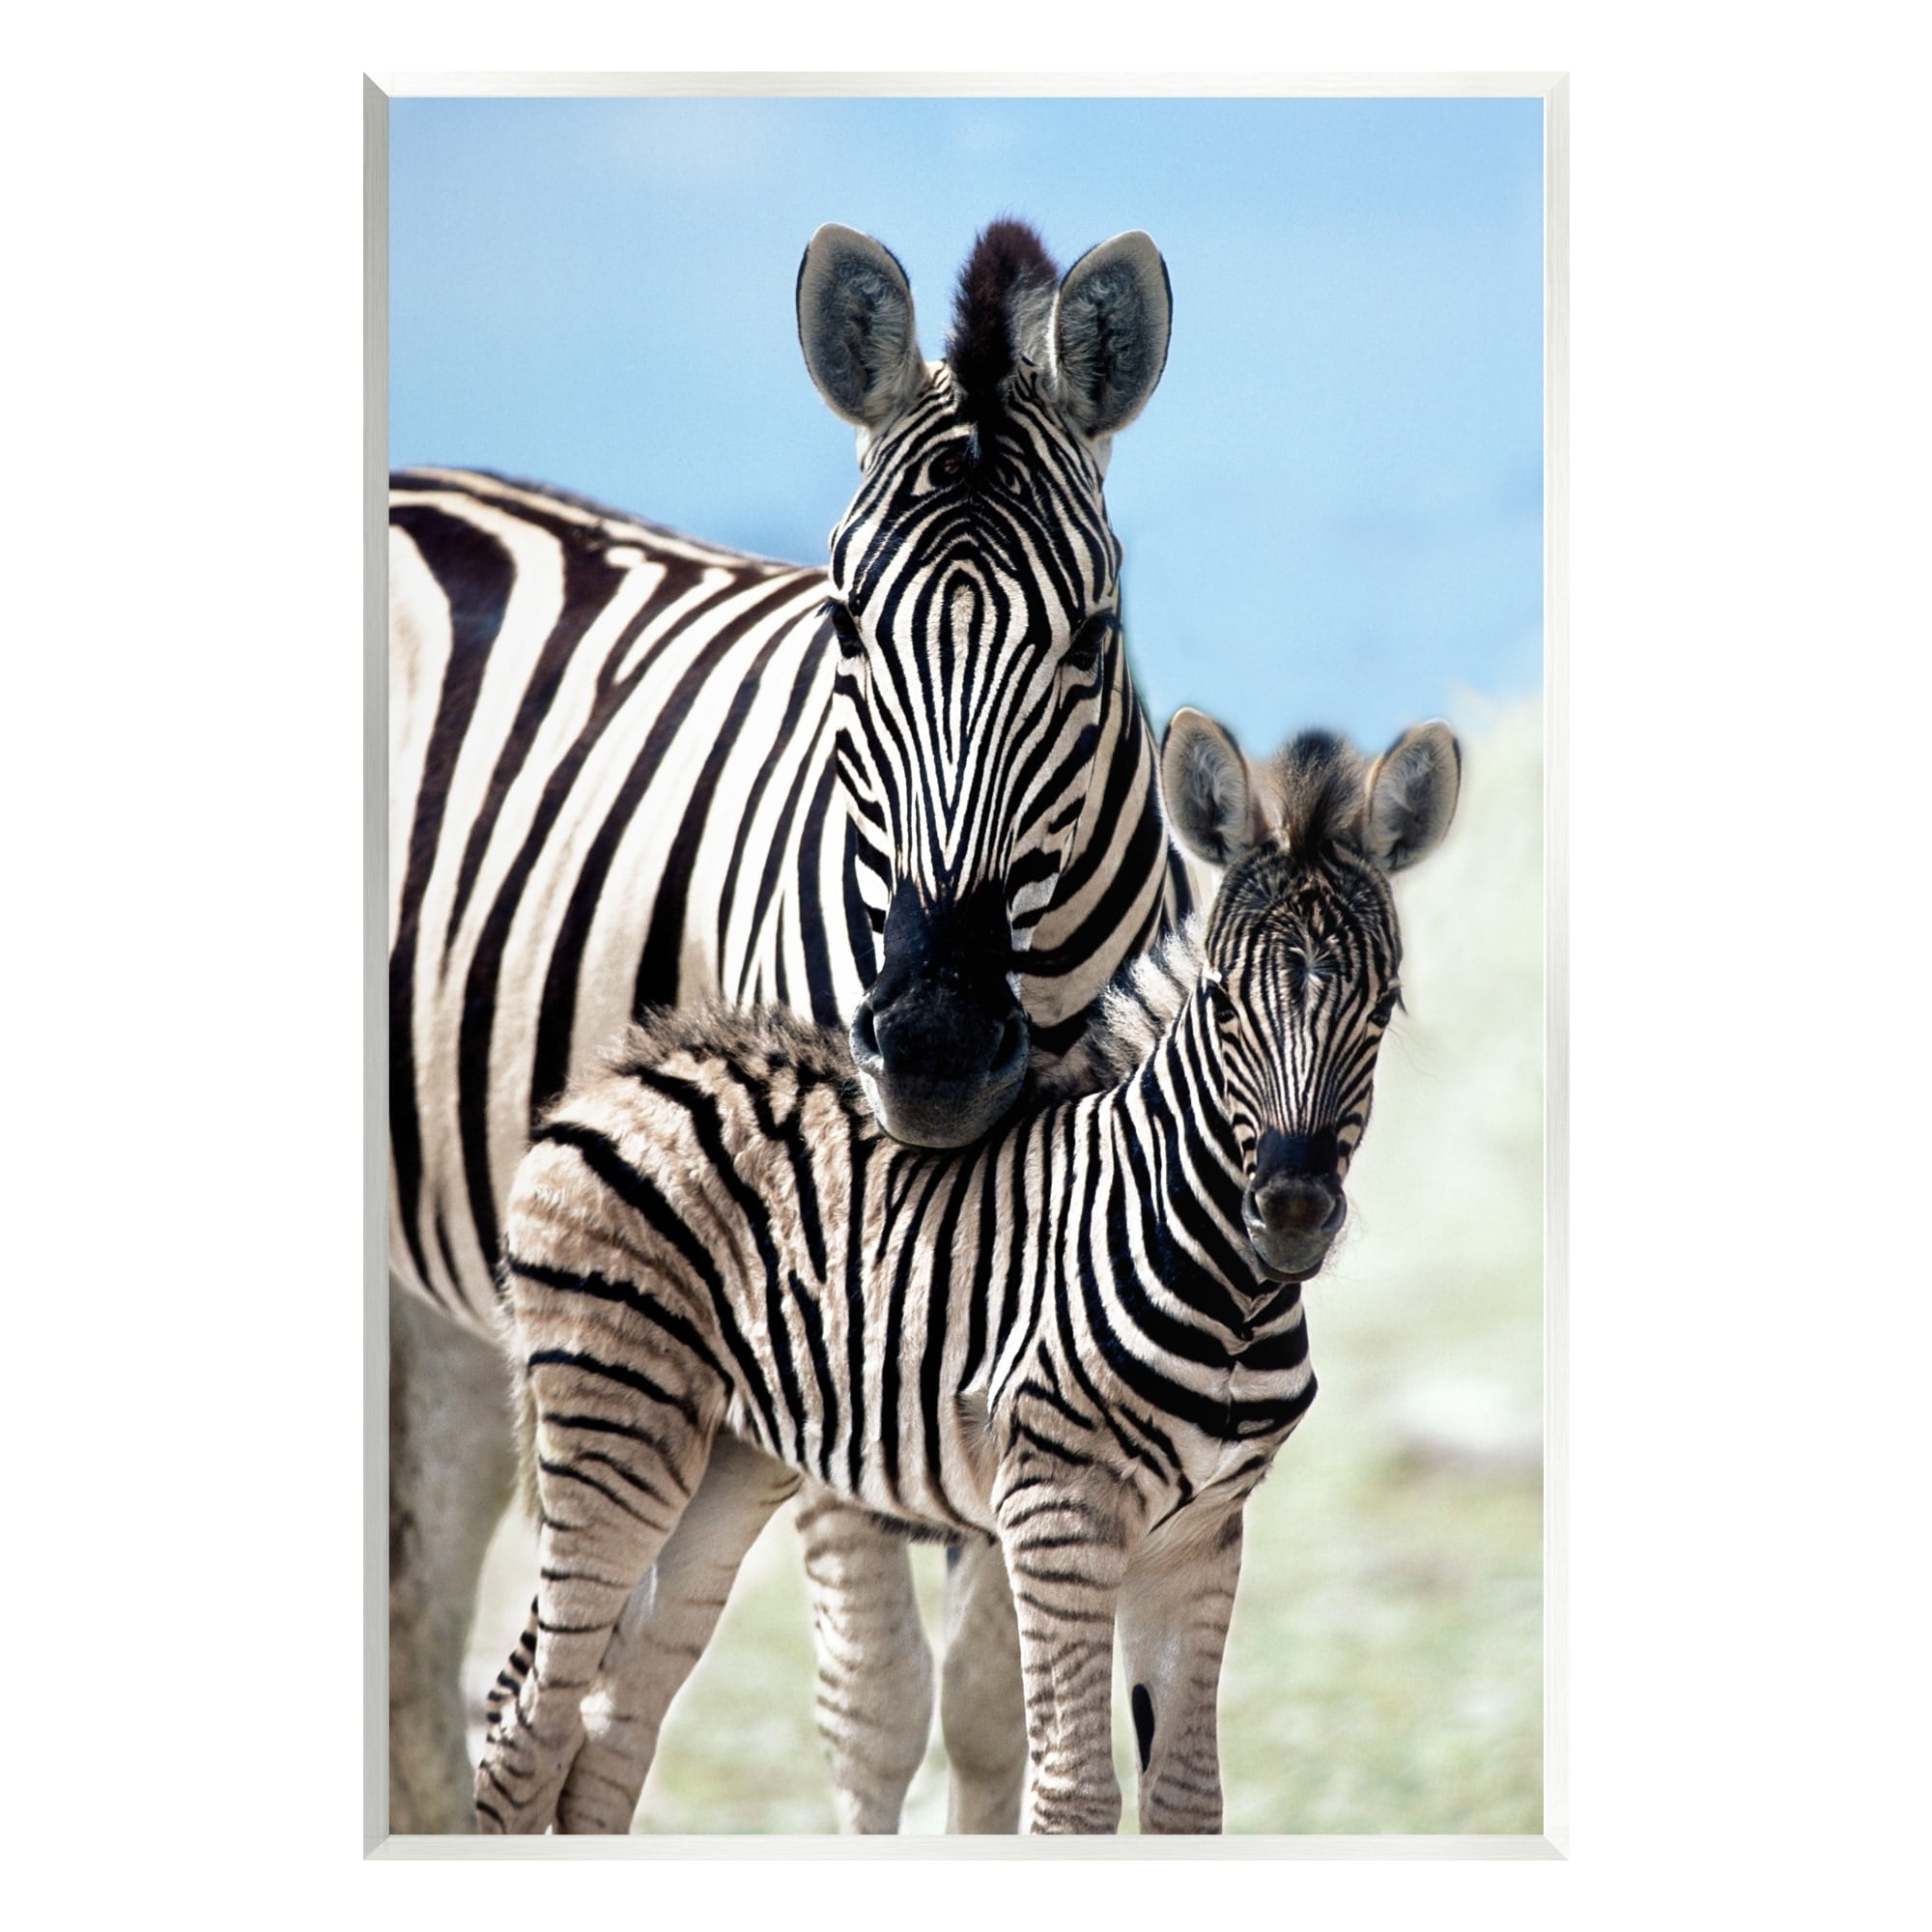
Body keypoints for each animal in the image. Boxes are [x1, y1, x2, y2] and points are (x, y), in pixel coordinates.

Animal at [388, 218, 1187, 1832]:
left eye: (1093, 637)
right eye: (845, 625)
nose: (934, 1050)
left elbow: (995, 1713)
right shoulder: (825, 1322)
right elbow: (877, 1709)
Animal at [474, 707, 1462, 1835]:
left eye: (1384, 1005)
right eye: (1220, 1002)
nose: (1292, 1212)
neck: (1231, 1297)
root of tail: (620, 1072)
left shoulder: (1202, 1534)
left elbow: (1187, 1797)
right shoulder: (1056, 1510)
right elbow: (1073, 1793)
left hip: (724, 1460)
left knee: (607, 1725)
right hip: (614, 1423)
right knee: (527, 1723)